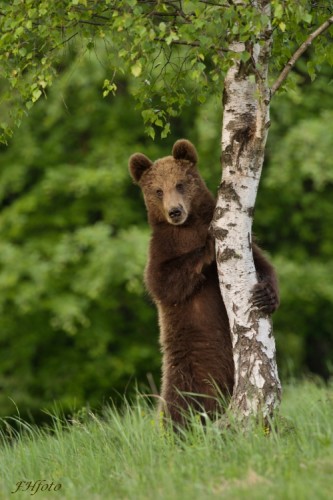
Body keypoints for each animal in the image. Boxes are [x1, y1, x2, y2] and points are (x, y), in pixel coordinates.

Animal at [128, 139, 278, 428]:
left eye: (180, 184)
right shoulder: (161, 251)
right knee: (178, 405)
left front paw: (266, 295)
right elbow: (163, 282)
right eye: (158, 190)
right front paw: (207, 245)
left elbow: (261, 263)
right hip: (185, 369)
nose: (175, 211)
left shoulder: (245, 241)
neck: (187, 228)